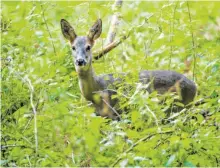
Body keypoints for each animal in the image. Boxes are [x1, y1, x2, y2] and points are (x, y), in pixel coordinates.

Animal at [59, 18, 196, 119]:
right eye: (73, 47)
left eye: (88, 47)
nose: (80, 61)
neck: (95, 92)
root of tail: (194, 86)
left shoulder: (115, 112)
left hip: (174, 105)